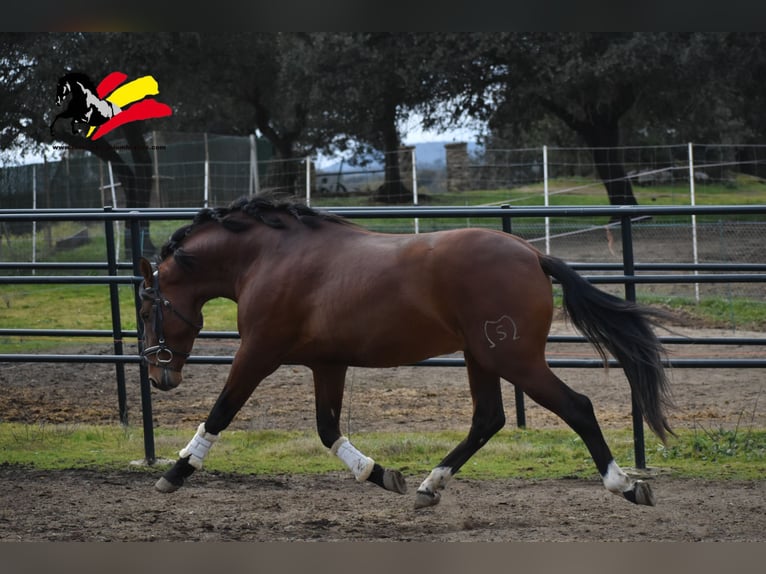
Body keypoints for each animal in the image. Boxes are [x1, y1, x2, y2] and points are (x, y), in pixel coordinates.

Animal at [141, 196, 676, 510]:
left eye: (147, 307)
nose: (158, 377)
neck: (271, 257)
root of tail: (531, 253)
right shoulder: (327, 363)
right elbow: (328, 429)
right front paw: (380, 474)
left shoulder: (259, 352)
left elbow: (221, 411)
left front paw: (175, 472)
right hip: (481, 358)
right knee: (488, 419)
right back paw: (428, 486)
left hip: (514, 359)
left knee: (576, 407)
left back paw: (627, 485)